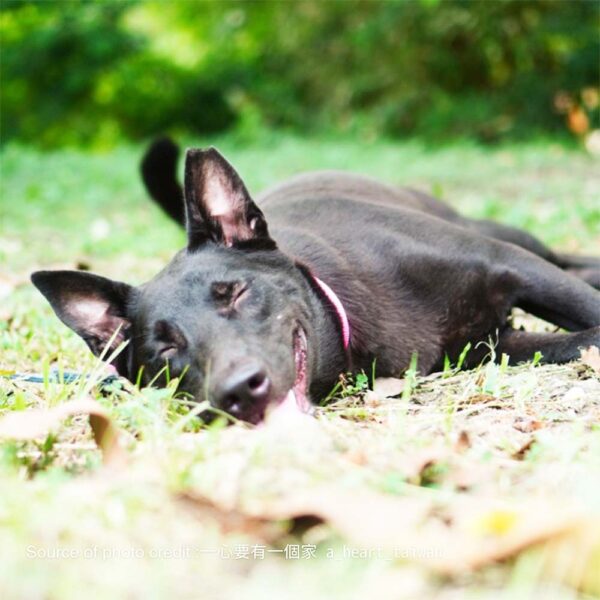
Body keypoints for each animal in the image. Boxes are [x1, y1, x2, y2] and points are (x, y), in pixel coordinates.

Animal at [31, 139, 600, 424]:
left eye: (235, 293)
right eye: (164, 349)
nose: (240, 392)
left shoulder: (509, 264)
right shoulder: (494, 345)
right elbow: (578, 340)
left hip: (510, 238)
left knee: (567, 259)